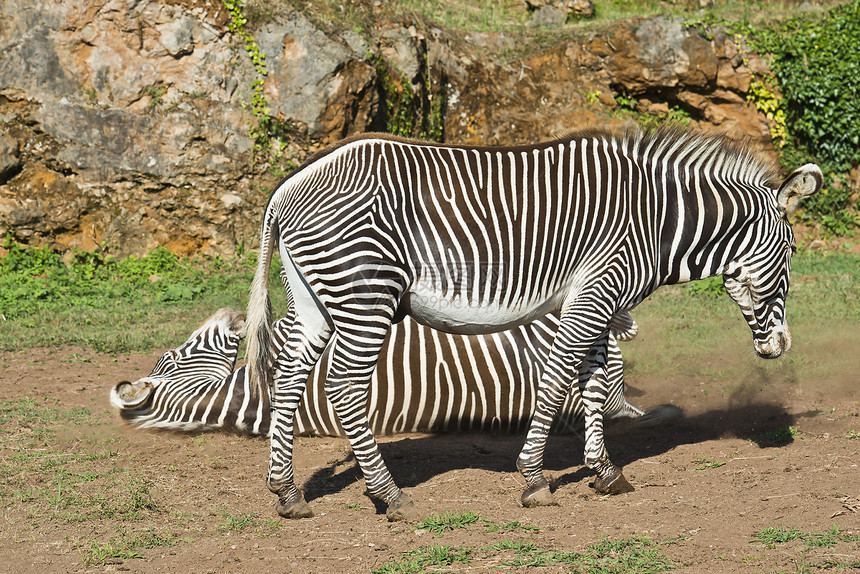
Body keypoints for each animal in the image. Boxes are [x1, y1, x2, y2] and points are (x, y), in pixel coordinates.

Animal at [245, 126, 824, 520]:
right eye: (794, 251)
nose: (781, 345)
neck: (658, 221)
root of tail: (290, 183)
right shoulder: (596, 293)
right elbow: (557, 379)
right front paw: (533, 480)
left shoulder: (600, 302)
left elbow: (594, 384)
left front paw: (604, 472)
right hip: (366, 294)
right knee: (344, 385)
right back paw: (389, 495)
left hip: (316, 298)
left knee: (288, 375)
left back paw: (287, 492)